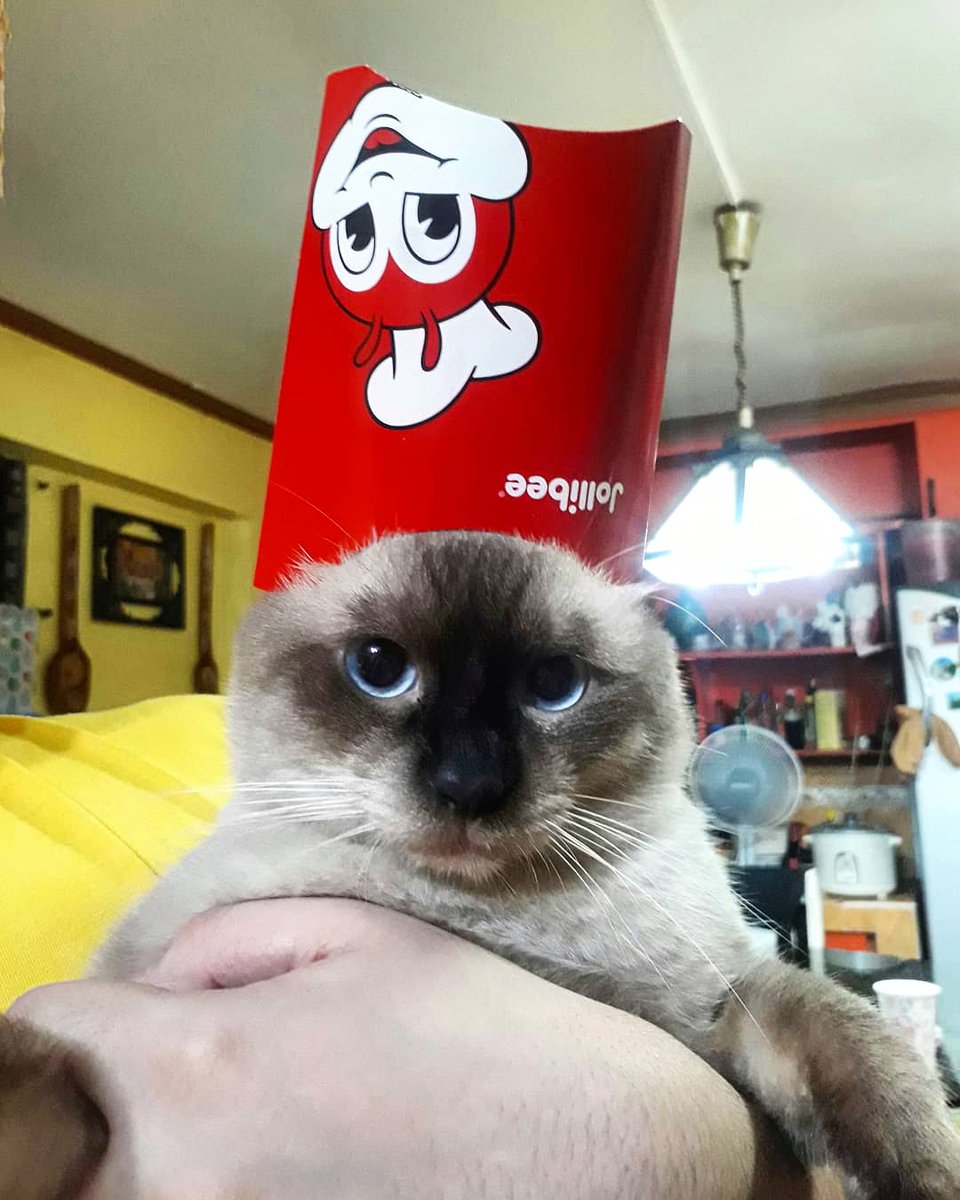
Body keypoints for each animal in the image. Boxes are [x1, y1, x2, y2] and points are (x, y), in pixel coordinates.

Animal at [3, 531, 959, 1199]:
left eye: (555, 684)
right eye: (379, 667)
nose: (470, 784)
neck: (505, 927)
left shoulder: (717, 1007)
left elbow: (867, 1054)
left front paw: (928, 1176)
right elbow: (36, 1059)